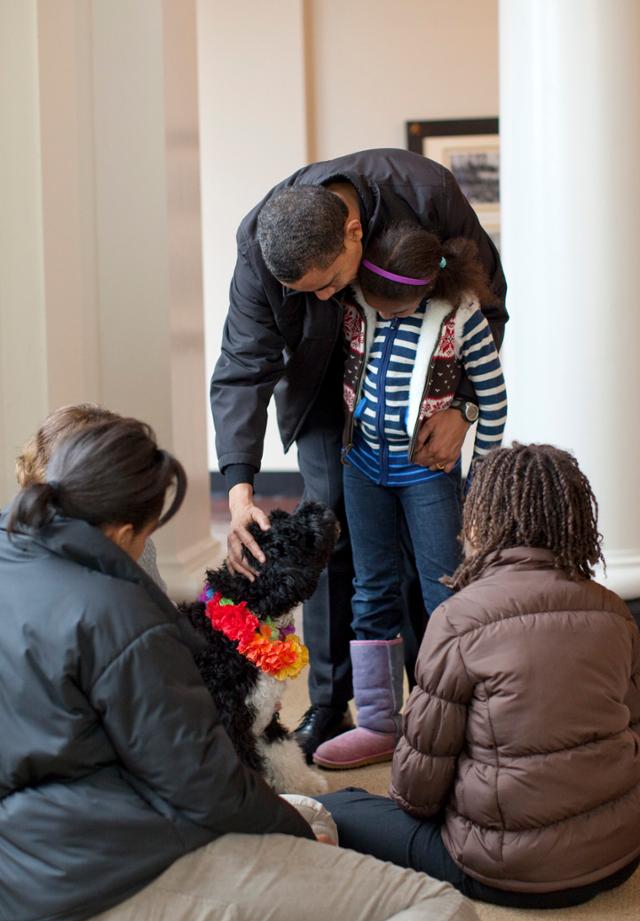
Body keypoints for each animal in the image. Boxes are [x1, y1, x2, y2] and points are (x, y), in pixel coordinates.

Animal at [182, 500, 338, 796]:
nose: (314, 504)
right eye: (291, 531)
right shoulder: (232, 725)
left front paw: (307, 785)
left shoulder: (263, 719)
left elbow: (285, 754)